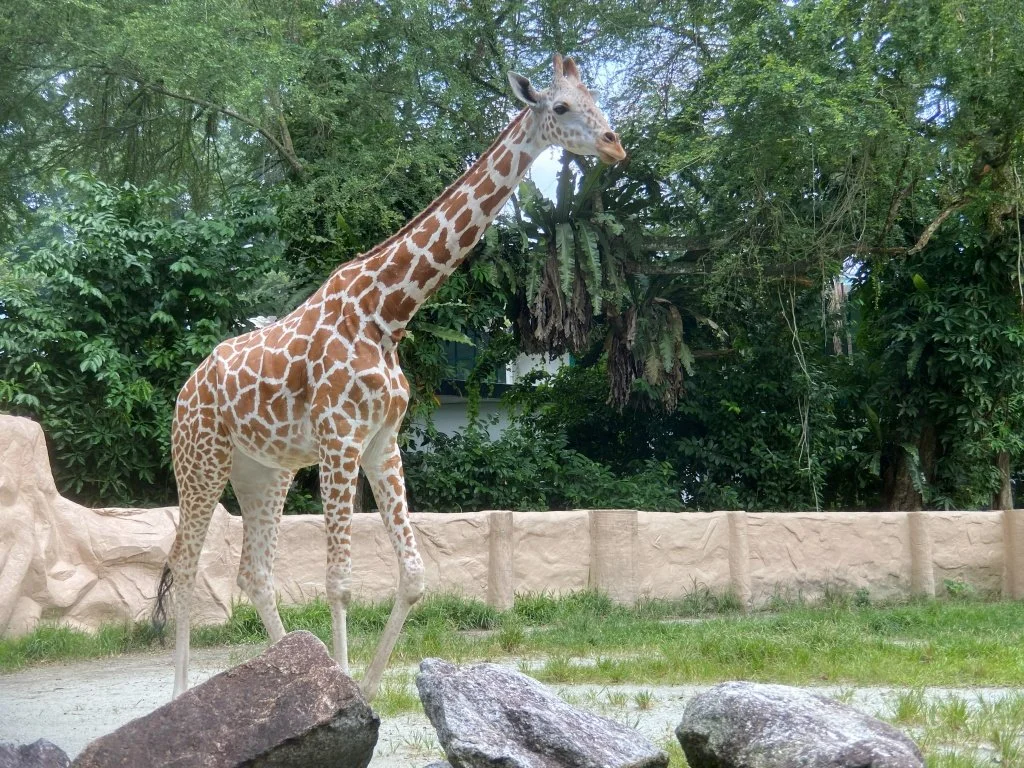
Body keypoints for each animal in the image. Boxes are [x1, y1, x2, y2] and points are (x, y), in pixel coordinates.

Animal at [157, 53, 626, 701]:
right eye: (560, 106)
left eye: (596, 101)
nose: (615, 145)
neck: (387, 315)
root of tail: (185, 390)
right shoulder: (339, 441)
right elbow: (340, 581)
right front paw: (343, 688)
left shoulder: (382, 443)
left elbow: (414, 575)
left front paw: (362, 692)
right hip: (200, 461)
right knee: (184, 565)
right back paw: (181, 695)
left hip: (263, 472)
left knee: (255, 573)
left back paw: (286, 668)